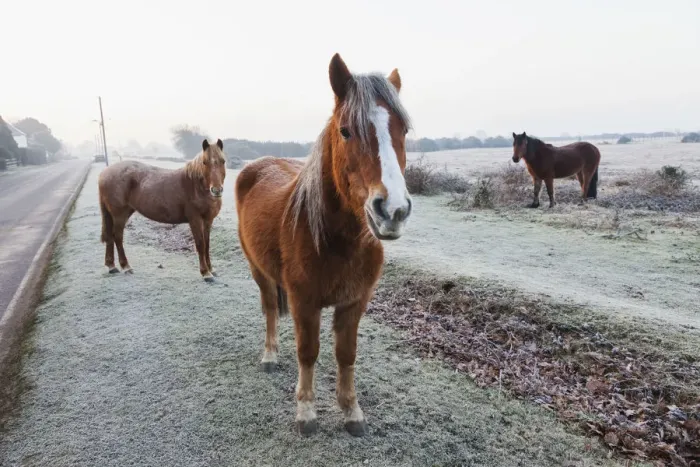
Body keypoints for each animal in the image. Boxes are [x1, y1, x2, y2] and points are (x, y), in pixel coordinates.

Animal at [98, 139, 226, 281]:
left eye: (223, 161)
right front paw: (205, 273)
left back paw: (111, 266)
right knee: (117, 237)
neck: (195, 186)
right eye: (204, 162)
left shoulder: (208, 220)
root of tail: (104, 173)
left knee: (110, 236)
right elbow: (200, 244)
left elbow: (207, 244)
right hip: (119, 215)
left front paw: (211, 269)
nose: (216, 190)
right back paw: (126, 266)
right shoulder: (195, 220)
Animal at [235, 53, 412, 437]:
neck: (336, 242)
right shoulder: (305, 302)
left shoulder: (355, 302)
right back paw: (270, 355)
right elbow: (308, 351)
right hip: (259, 271)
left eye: (403, 130)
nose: (393, 210)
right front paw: (306, 411)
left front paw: (351, 410)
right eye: (345, 130)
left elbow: (346, 354)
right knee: (269, 308)